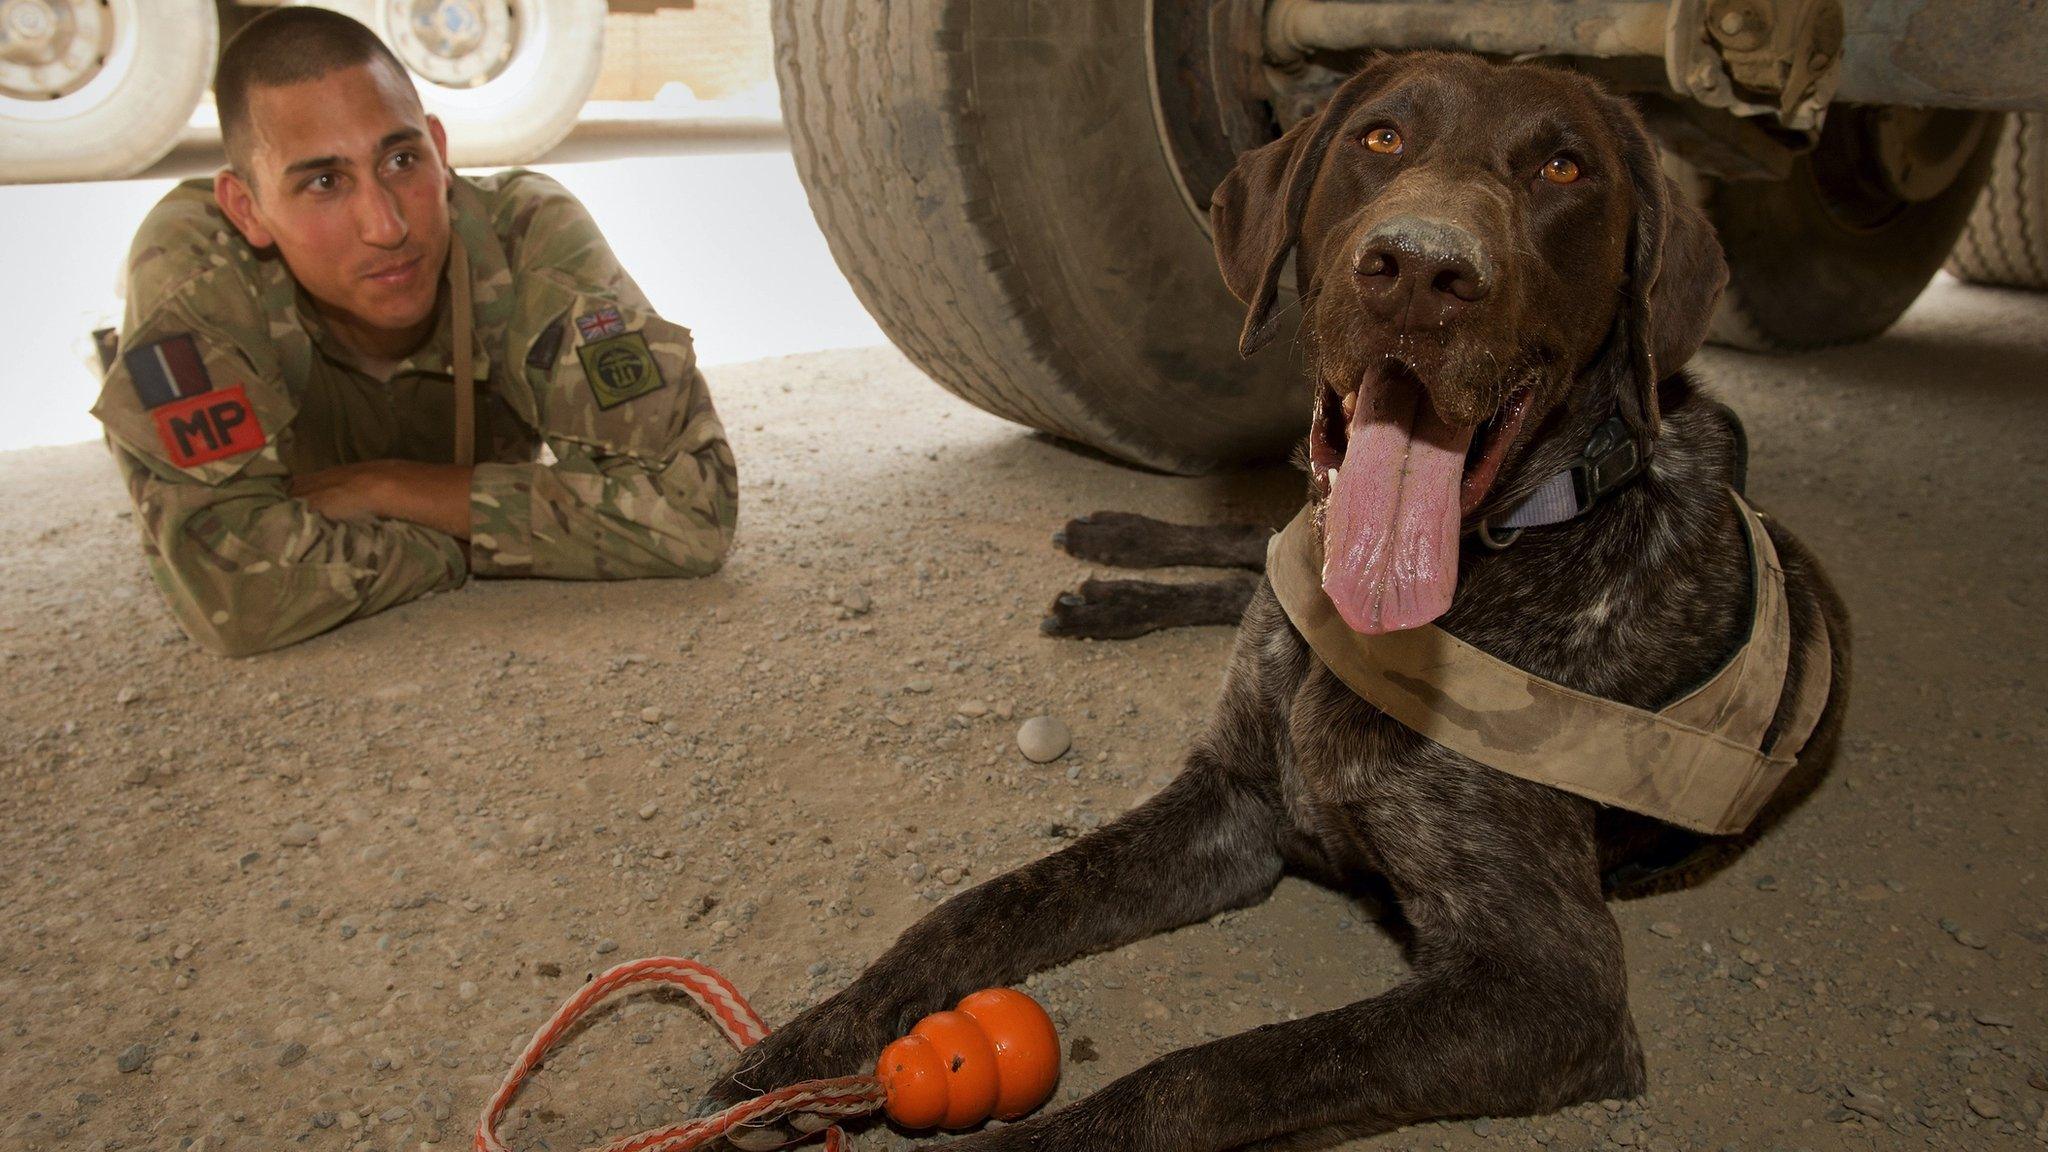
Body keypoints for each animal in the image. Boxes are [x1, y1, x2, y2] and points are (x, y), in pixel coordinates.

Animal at [712, 49, 1851, 1139]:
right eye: (1379, 138)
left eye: (1564, 169)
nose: (1421, 269)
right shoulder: (1228, 803)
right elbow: (974, 910)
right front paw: (807, 1044)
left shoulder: (1548, 990)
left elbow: (1205, 1075)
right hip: (1272, 558)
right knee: (1245, 556)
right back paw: (1114, 561)